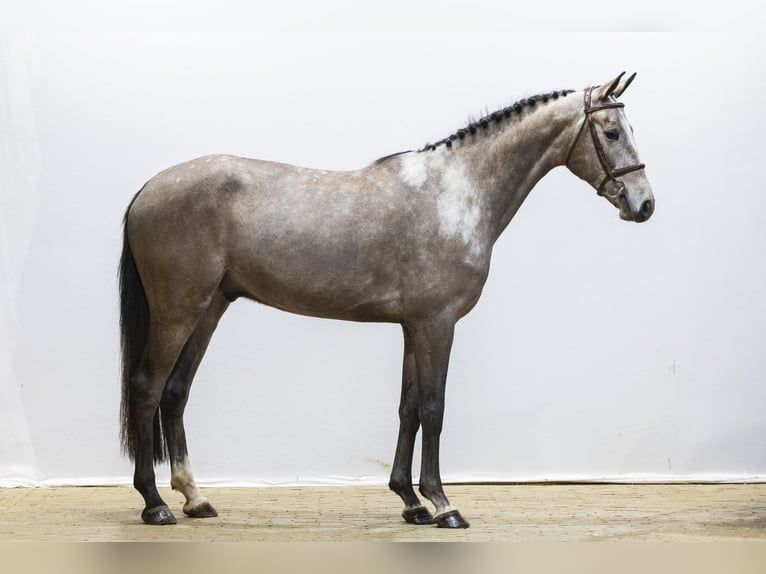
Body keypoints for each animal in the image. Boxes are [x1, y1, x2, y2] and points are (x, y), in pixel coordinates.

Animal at [119, 72, 654, 528]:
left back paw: (195, 498)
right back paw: (154, 503)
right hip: (178, 310)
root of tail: (149, 188)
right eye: (610, 132)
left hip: (210, 308)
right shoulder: (437, 323)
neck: (456, 193)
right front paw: (443, 505)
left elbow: (408, 408)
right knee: (147, 387)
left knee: (176, 391)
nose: (644, 203)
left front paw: (411, 502)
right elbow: (434, 409)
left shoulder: (414, 326)